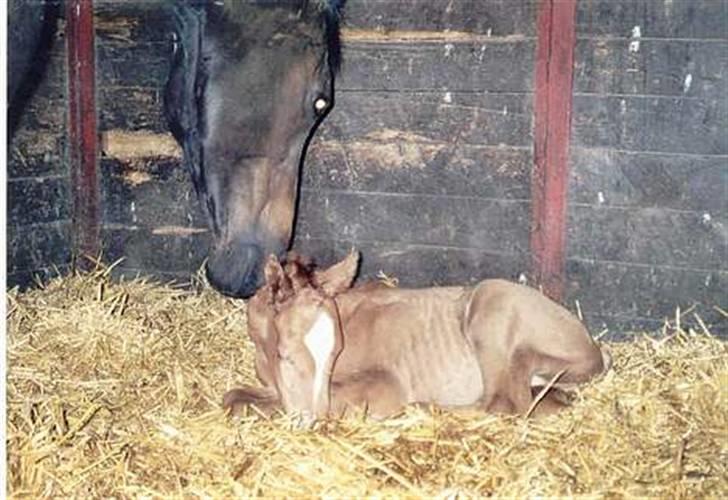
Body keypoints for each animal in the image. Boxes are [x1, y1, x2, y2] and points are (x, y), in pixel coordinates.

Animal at [225, 252, 612, 420]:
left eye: (336, 353)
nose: (312, 420)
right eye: (284, 355)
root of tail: (593, 350)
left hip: (493, 308)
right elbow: (235, 396)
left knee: (502, 403)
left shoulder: (385, 384)